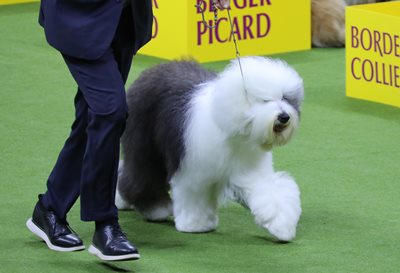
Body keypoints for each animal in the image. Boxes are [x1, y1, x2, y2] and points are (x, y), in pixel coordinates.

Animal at [115, 56, 304, 240]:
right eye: (265, 100)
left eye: (285, 98)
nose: (284, 117)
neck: (235, 130)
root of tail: (149, 73)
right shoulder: (193, 172)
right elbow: (195, 197)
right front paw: (196, 225)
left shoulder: (251, 170)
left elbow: (270, 193)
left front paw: (282, 226)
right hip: (146, 146)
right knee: (140, 175)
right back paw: (155, 208)